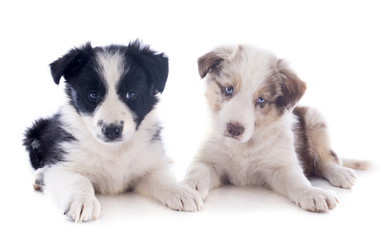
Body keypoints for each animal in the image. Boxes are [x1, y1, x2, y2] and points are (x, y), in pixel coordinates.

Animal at [23, 40, 203, 222]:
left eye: (131, 94)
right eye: (92, 95)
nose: (111, 130)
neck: (114, 150)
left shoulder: (144, 167)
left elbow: (161, 177)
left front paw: (181, 191)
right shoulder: (62, 164)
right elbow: (77, 179)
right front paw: (82, 201)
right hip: (35, 133)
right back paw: (40, 176)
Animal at [183, 44, 368, 212]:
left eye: (261, 100)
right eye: (228, 89)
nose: (234, 130)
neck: (244, 146)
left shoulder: (280, 166)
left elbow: (296, 180)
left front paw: (313, 193)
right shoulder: (209, 161)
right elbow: (197, 171)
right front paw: (186, 189)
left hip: (315, 119)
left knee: (328, 159)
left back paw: (341, 173)